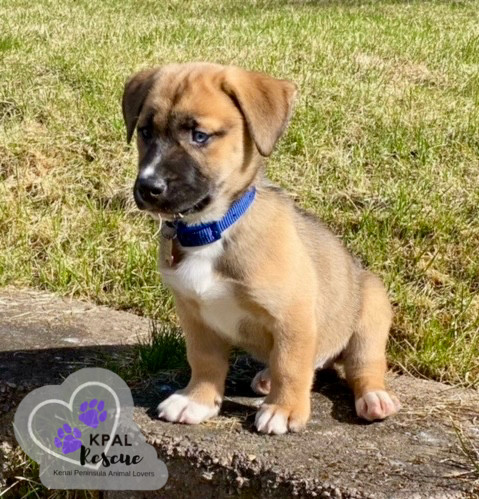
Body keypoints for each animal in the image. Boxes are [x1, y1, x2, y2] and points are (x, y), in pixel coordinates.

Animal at [123, 62, 402, 436]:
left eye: (200, 136)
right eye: (145, 132)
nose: (148, 187)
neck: (212, 228)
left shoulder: (292, 316)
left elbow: (290, 365)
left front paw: (284, 409)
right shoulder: (195, 316)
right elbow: (205, 361)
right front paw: (197, 401)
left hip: (371, 311)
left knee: (364, 365)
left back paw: (374, 399)